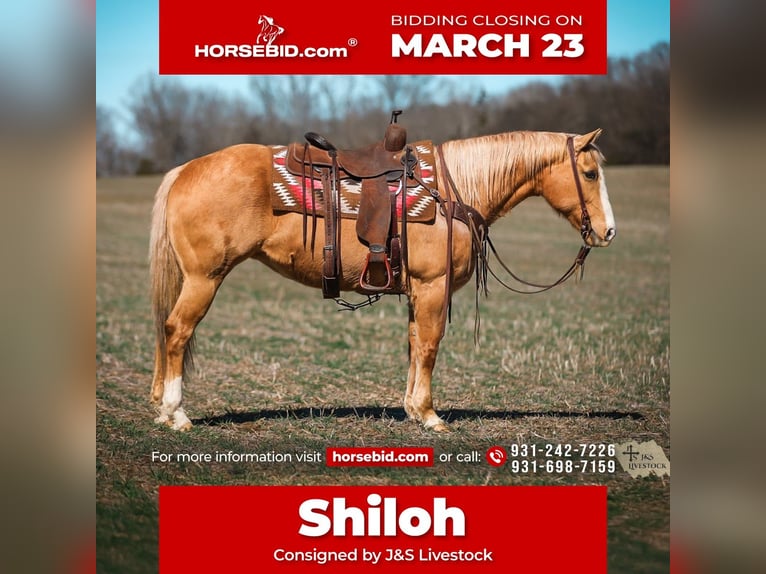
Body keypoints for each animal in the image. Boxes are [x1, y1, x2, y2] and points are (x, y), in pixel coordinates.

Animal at [149, 129, 616, 431]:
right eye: (590, 174)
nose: (608, 231)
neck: (453, 192)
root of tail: (183, 171)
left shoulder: (417, 291)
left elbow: (413, 345)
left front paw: (411, 409)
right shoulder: (433, 286)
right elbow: (429, 346)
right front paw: (430, 416)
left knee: (166, 329)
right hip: (204, 278)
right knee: (177, 331)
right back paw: (176, 414)